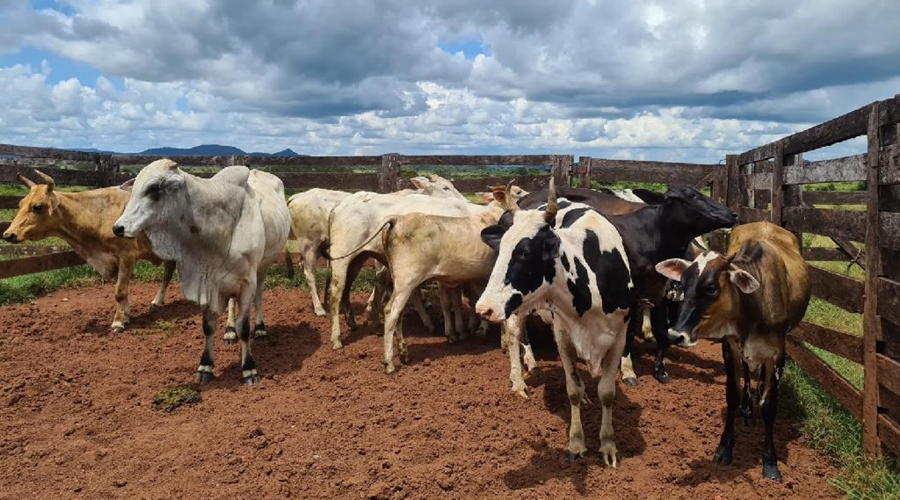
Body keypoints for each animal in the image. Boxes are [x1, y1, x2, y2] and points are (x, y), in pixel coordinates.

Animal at [1, 171, 176, 332]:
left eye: (37, 207)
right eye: (20, 204)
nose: (8, 234)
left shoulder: (127, 255)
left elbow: (119, 291)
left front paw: (118, 322)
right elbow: (121, 290)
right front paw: (126, 316)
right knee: (169, 269)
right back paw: (157, 301)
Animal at [111, 158, 288, 384]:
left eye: (154, 189)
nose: (118, 228)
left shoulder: (248, 282)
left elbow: (244, 327)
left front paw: (249, 369)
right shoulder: (207, 282)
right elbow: (208, 326)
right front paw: (206, 366)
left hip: (263, 268)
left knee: (259, 297)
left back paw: (260, 329)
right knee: (232, 303)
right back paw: (229, 331)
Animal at [474, 182, 636, 466]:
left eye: (525, 252)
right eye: (502, 248)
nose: (484, 308)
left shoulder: (619, 334)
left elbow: (607, 392)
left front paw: (608, 445)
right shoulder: (563, 333)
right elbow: (572, 389)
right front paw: (577, 443)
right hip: (518, 308)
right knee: (515, 333)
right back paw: (518, 381)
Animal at [652, 222, 808, 480]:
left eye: (711, 287)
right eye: (682, 284)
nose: (675, 335)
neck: (754, 306)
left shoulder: (777, 355)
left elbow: (769, 405)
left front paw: (770, 462)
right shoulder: (730, 347)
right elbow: (732, 394)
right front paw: (725, 448)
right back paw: (747, 407)